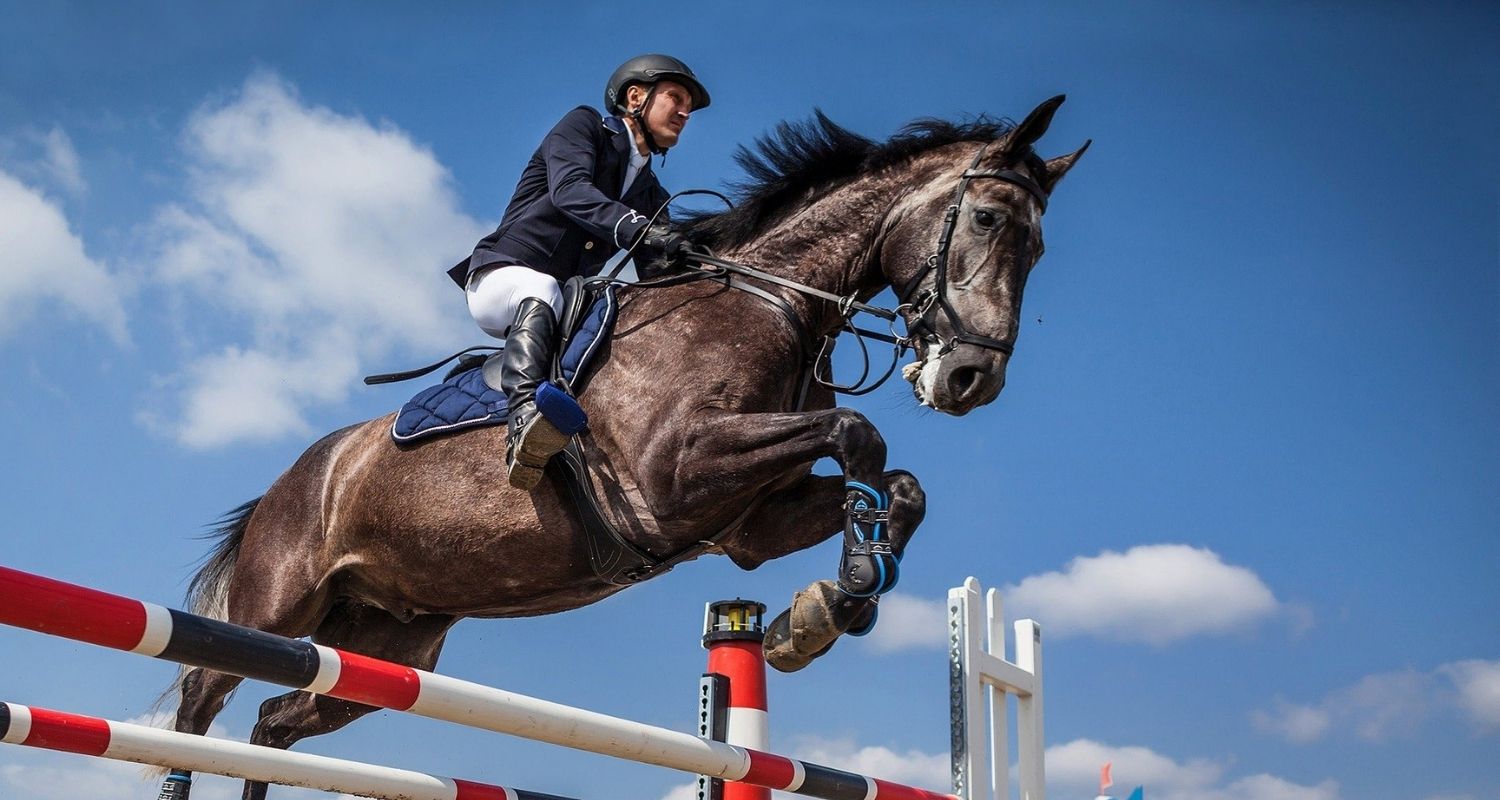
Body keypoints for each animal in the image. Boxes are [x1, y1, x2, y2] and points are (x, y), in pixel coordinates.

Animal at [164, 95, 1092, 798]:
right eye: (985, 218)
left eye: (1040, 245)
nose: (971, 378)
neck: (773, 307)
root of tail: (295, 478)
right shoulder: (676, 475)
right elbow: (859, 433)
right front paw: (843, 593)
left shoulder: (745, 525)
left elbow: (899, 485)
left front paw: (825, 609)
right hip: (276, 605)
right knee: (202, 701)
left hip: (386, 643)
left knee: (275, 722)